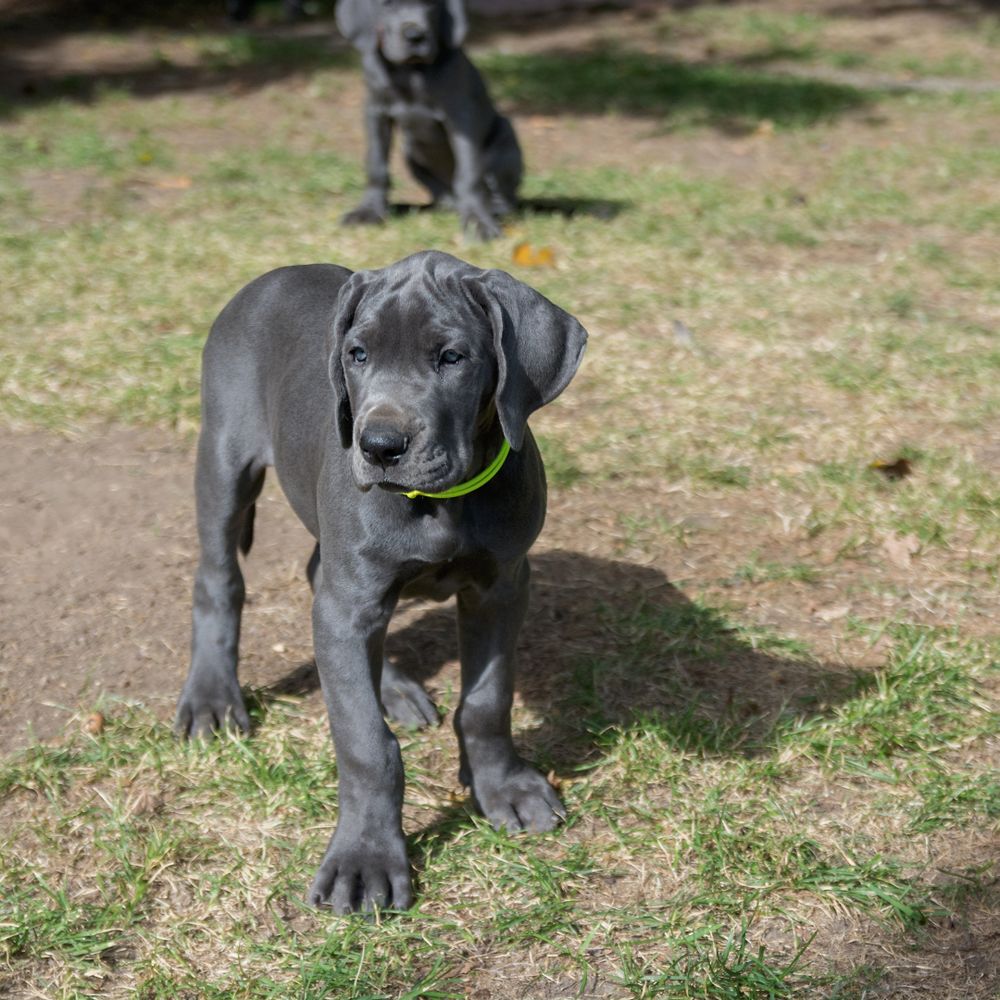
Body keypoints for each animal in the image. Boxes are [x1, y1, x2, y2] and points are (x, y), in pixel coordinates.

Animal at [176, 250, 584, 916]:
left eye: (452, 357)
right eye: (357, 354)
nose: (379, 446)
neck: (441, 503)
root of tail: (274, 273)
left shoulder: (501, 586)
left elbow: (487, 702)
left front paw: (502, 787)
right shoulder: (351, 601)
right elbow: (366, 742)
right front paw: (364, 859)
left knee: (322, 585)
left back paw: (392, 688)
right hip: (223, 459)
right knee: (219, 578)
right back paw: (212, 698)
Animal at [338, 0, 524, 238]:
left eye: (430, 4)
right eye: (386, 5)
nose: (415, 36)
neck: (409, 71)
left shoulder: (461, 116)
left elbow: (469, 172)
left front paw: (477, 222)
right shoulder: (375, 111)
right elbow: (376, 165)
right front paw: (369, 211)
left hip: (505, 137)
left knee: (504, 199)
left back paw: (493, 209)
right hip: (411, 151)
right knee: (441, 200)